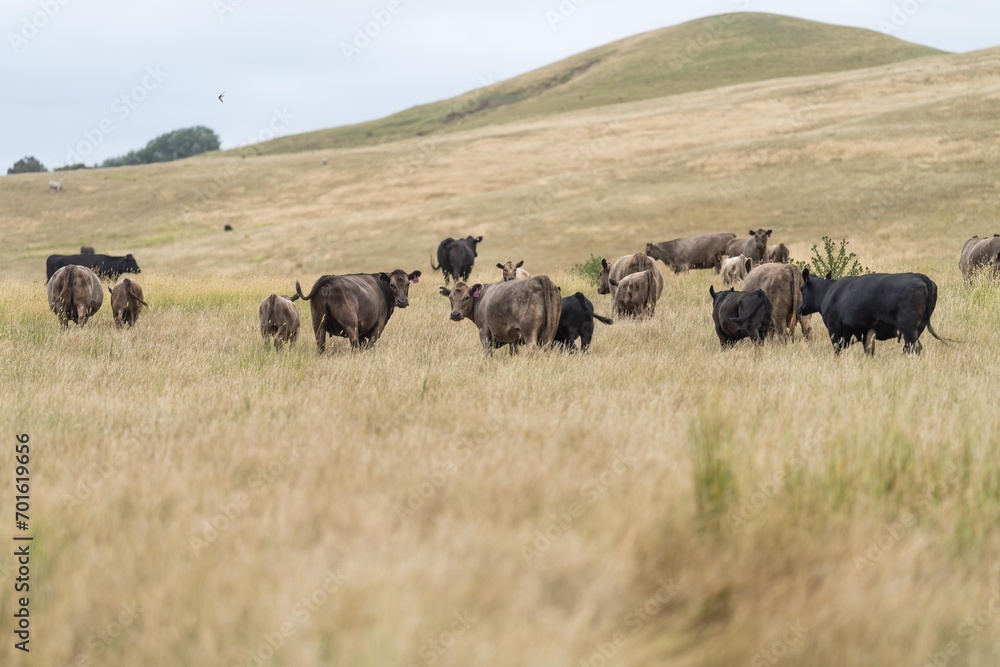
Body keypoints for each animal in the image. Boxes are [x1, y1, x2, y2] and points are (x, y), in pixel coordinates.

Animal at [796, 270, 944, 358]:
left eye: (801, 288)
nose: (799, 308)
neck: (827, 292)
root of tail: (920, 276)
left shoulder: (835, 331)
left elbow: (837, 351)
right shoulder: (865, 333)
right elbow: (869, 351)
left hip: (908, 328)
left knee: (914, 347)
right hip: (919, 327)